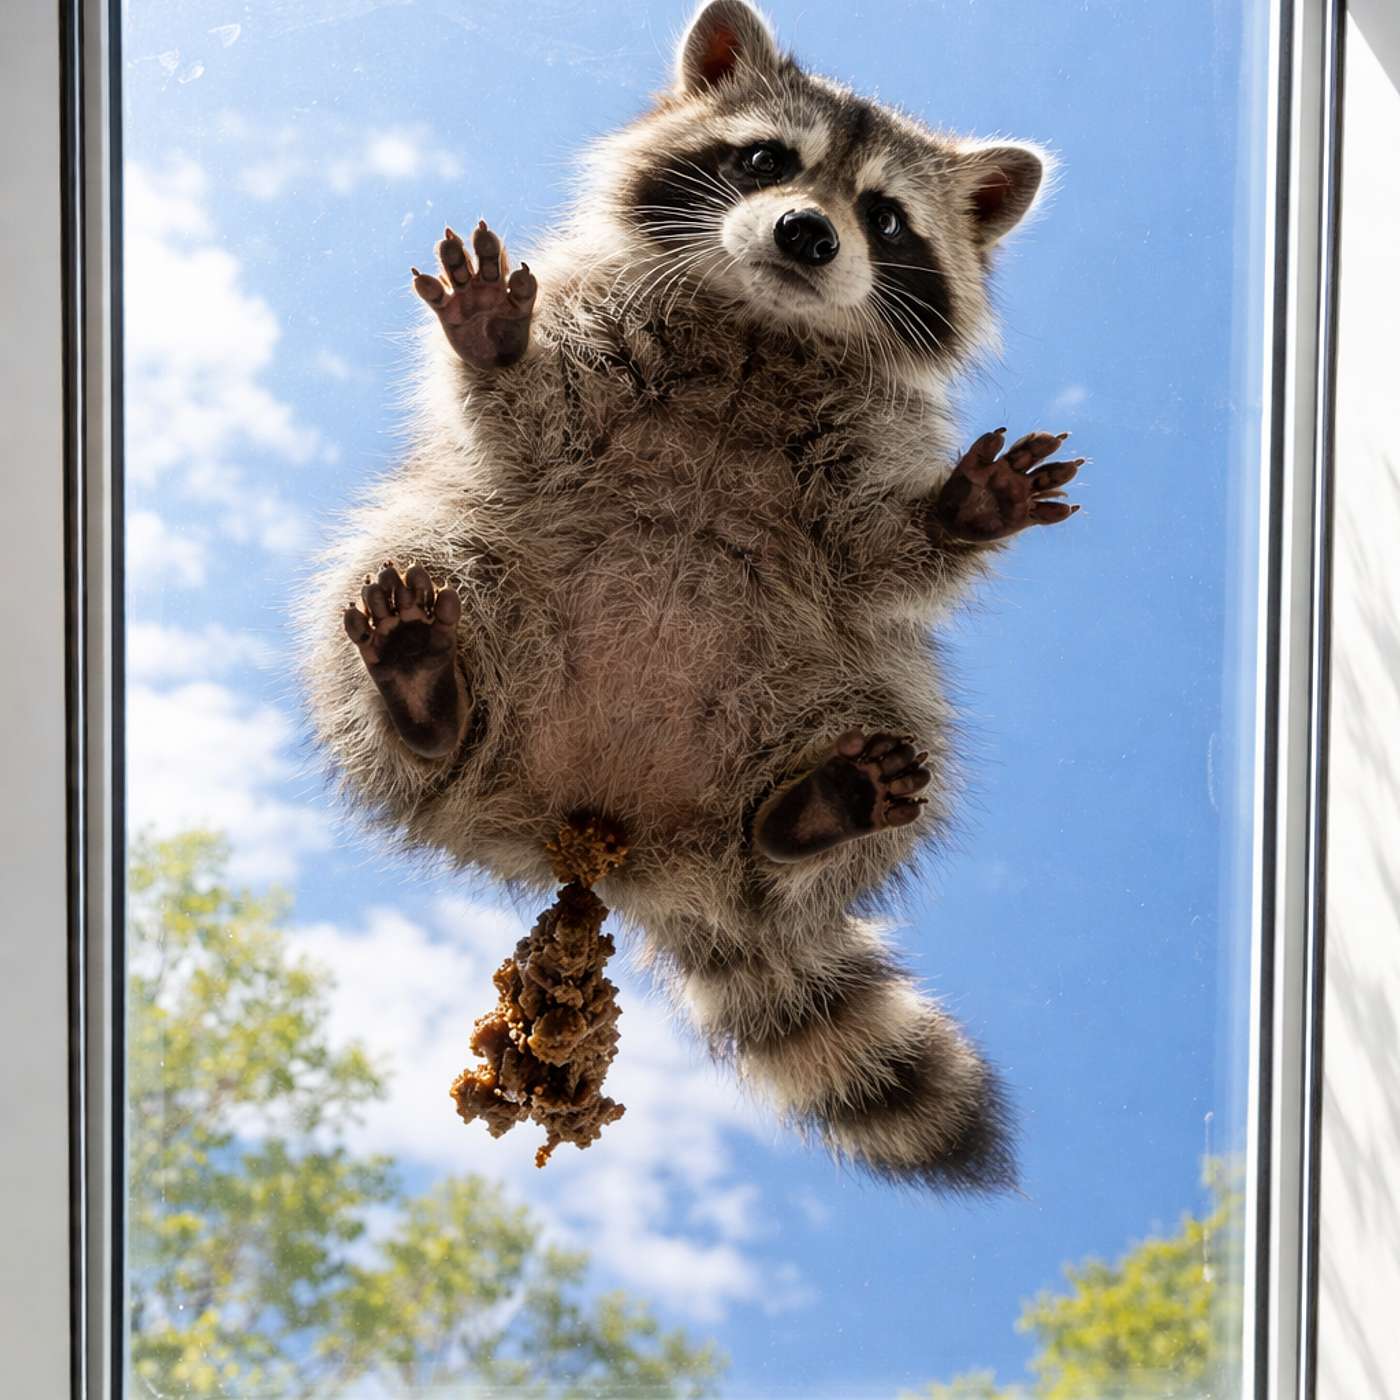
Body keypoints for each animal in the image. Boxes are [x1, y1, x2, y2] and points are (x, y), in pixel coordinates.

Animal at [304, 0, 1083, 1194]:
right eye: (765, 161)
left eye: (884, 217)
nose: (808, 235)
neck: (761, 330)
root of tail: (601, 828)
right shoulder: (590, 348)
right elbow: (522, 418)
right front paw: (495, 345)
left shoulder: (858, 459)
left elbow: (878, 557)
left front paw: (959, 513)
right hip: (465, 565)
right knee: (413, 564)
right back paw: (423, 695)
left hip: (839, 685)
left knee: (882, 738)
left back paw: (813, 812)